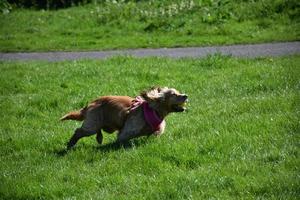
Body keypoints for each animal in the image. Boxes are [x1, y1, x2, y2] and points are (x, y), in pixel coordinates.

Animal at [60, 86, 188, 148]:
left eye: (178, 92)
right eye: (174, 94)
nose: (186, 95)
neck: (154, 109)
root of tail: (89, 104)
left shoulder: (157, 129)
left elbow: (155, 134)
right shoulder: (128, 130)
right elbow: (122, 138)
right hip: (92, 124)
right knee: (78, 131)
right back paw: (70, 145)